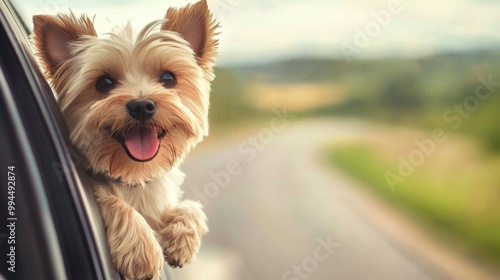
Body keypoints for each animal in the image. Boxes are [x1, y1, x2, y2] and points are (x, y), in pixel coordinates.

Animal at [31, 1, 219, 278]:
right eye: (104, 82)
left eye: (168, 78)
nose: (141, 106)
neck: (133, 175)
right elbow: (110, 199)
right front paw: (141, 250)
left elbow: (191, 206)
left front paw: (181, 236)